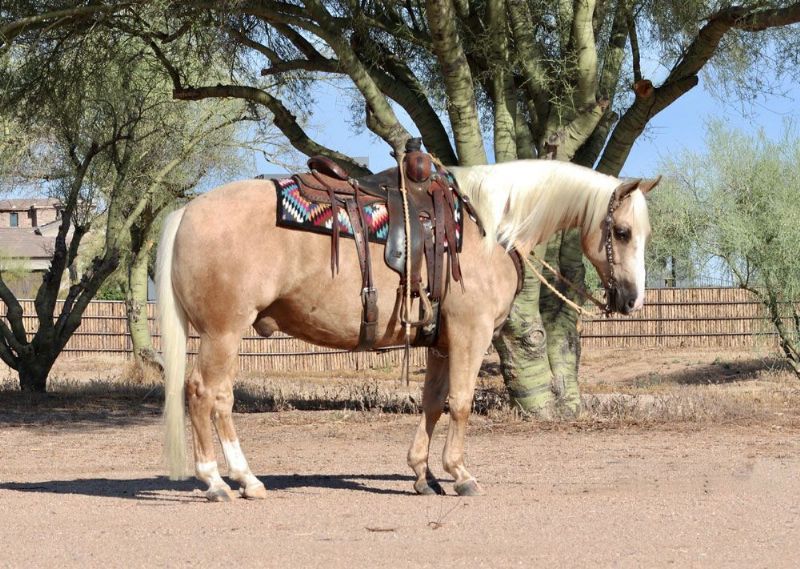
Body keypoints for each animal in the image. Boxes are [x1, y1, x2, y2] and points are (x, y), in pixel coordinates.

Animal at [156, 158, 658, 501]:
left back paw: (238, 479)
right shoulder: (471, 333)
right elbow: (461, 402)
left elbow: (433, 402)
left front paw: (423, 473)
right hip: (223, 332)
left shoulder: (440, 341)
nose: (632, 299)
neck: (489, 229)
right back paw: (222, 481)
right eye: (622, 232)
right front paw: (460, 474)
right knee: (206, 394)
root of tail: (187, 212)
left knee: (215, 397)